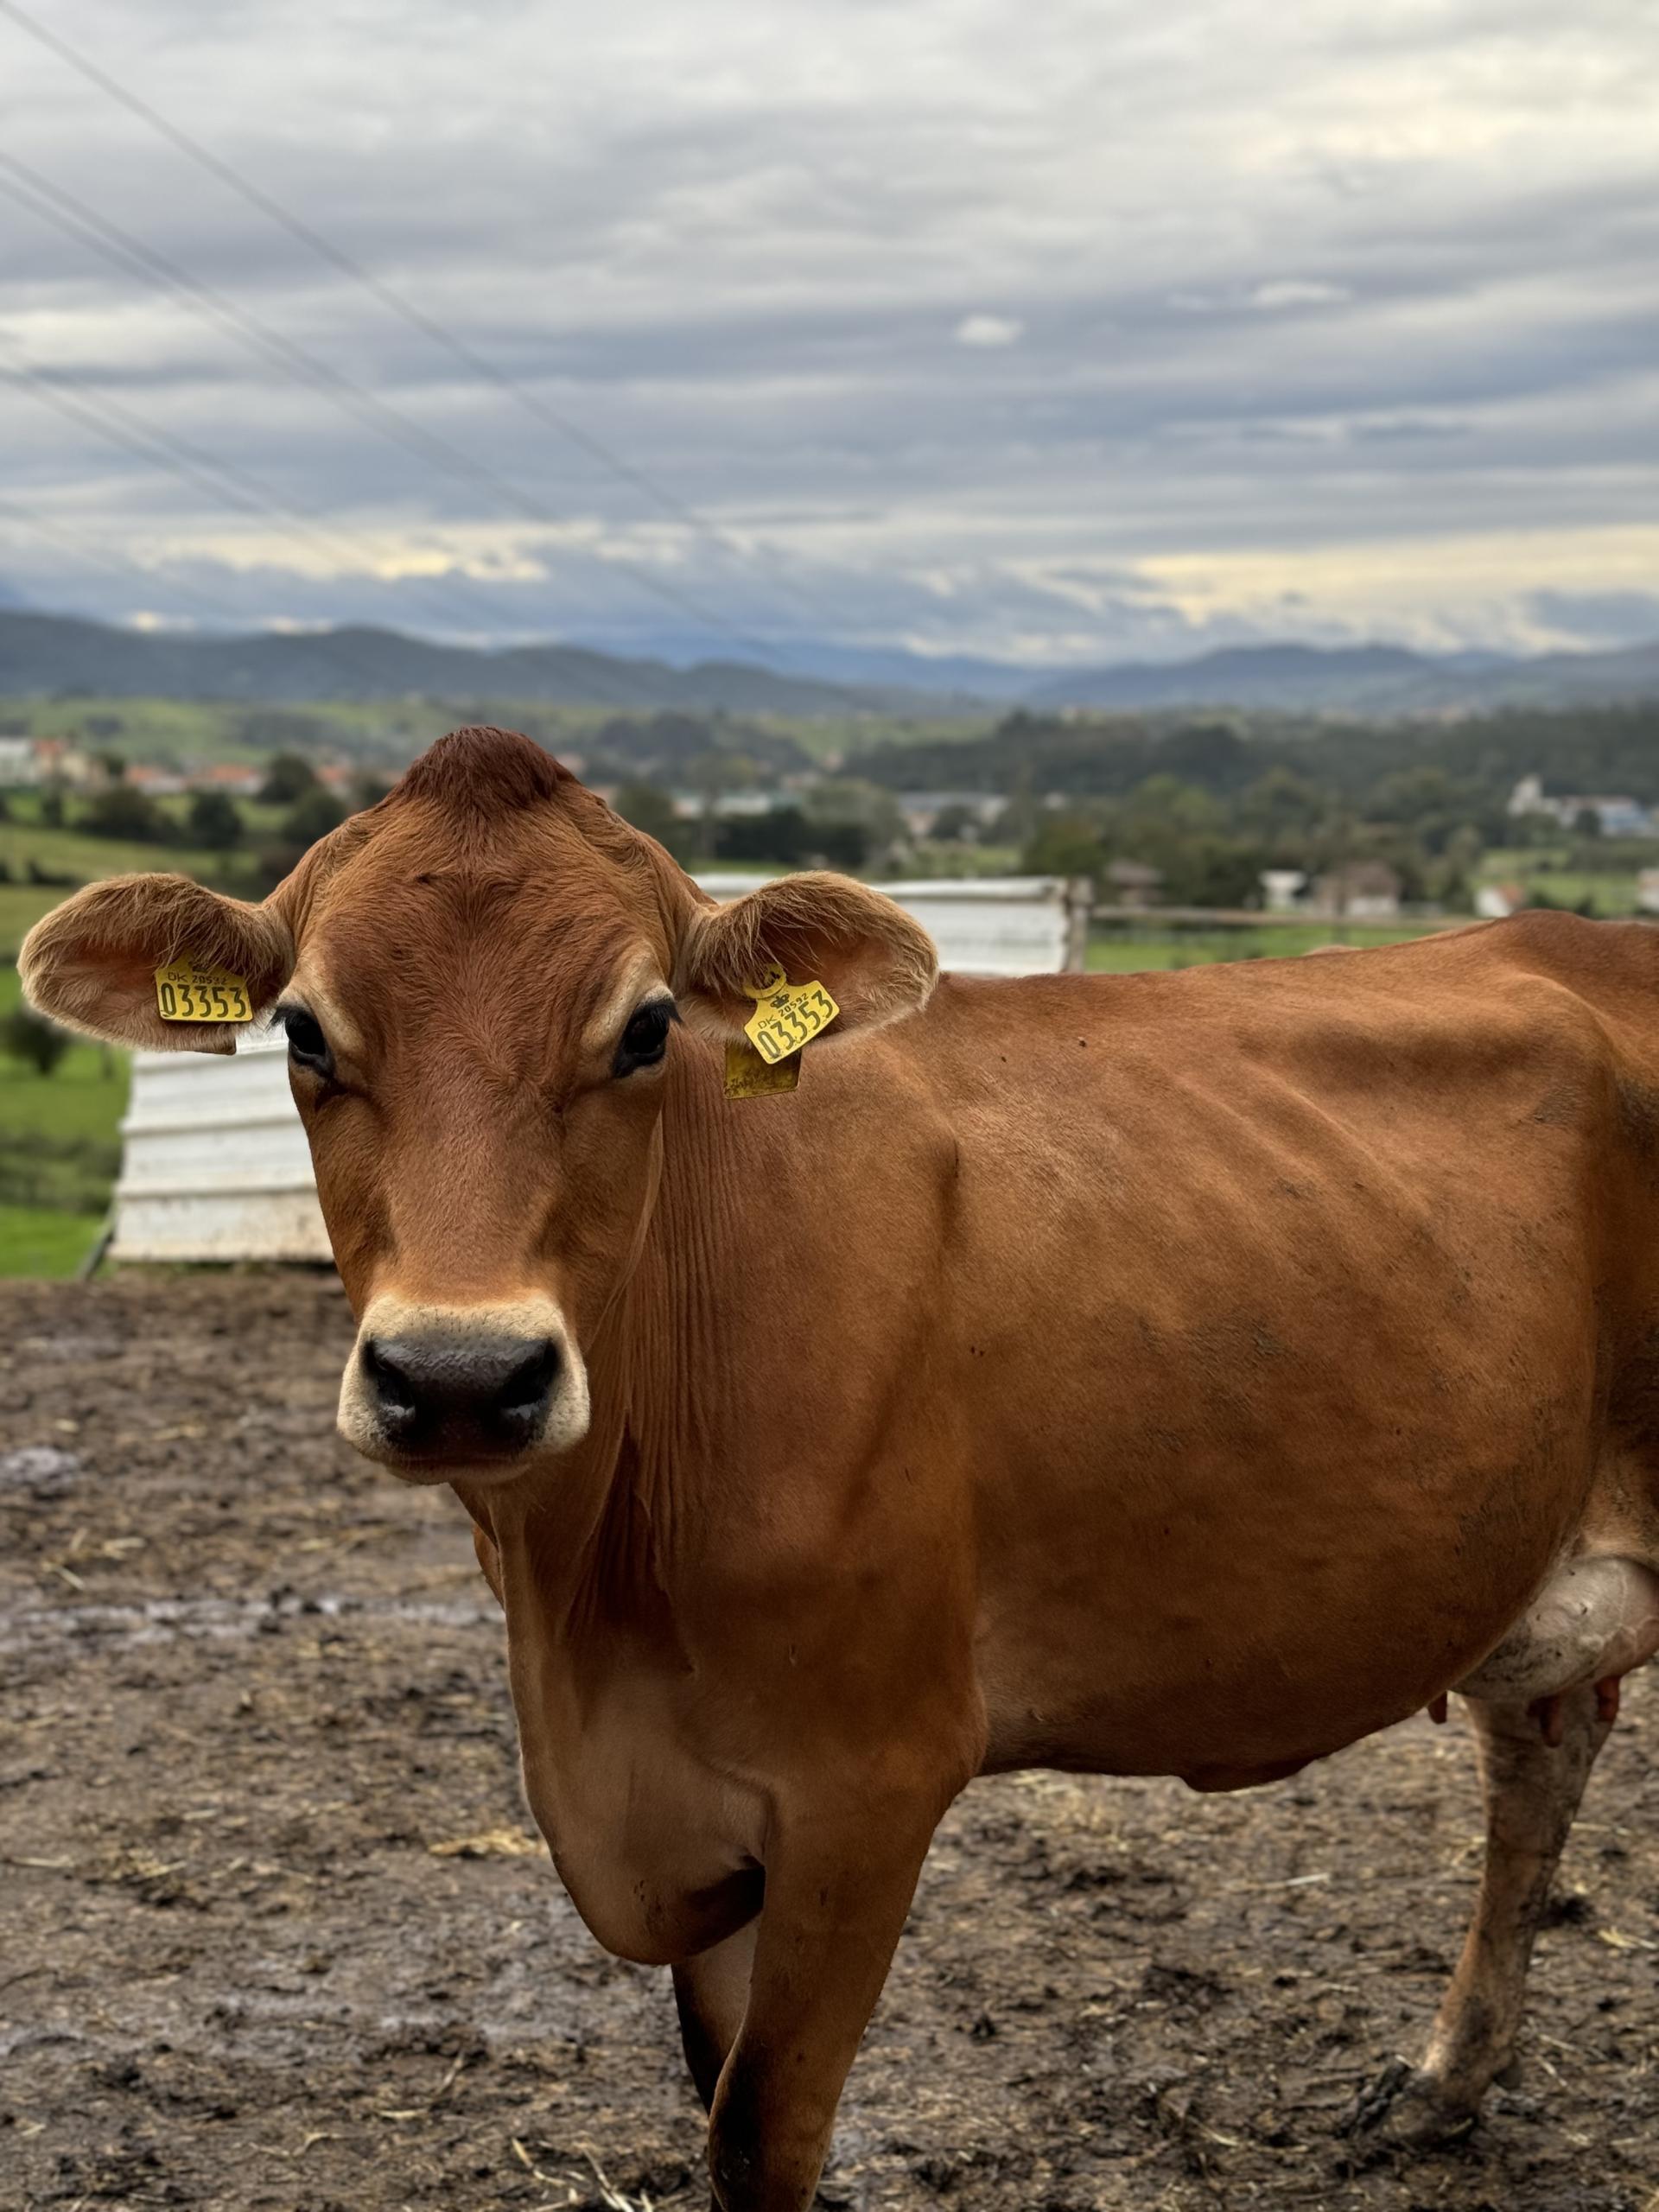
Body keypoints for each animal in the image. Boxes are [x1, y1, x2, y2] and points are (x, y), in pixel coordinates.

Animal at [21, 724, 1659, 2210]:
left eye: (645, 1028)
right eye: (304, 1034)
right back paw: (1447, 2082)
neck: (588, 1598)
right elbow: (713, 2088)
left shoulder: (868, 1784)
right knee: (1539, 1751)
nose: (463, 1377)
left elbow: (761, 2139)